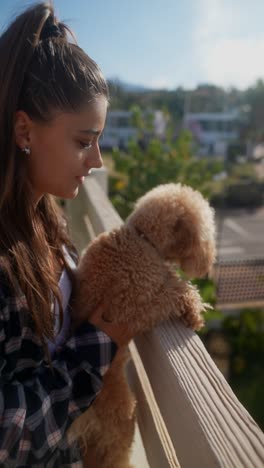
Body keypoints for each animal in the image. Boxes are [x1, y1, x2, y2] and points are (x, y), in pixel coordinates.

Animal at [68, 183, 217, 468]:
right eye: (205, 233)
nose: (208, 265)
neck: (141, 239)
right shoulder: (133, 307)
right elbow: (174, 293)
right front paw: (194, 310)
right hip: (121, 426)